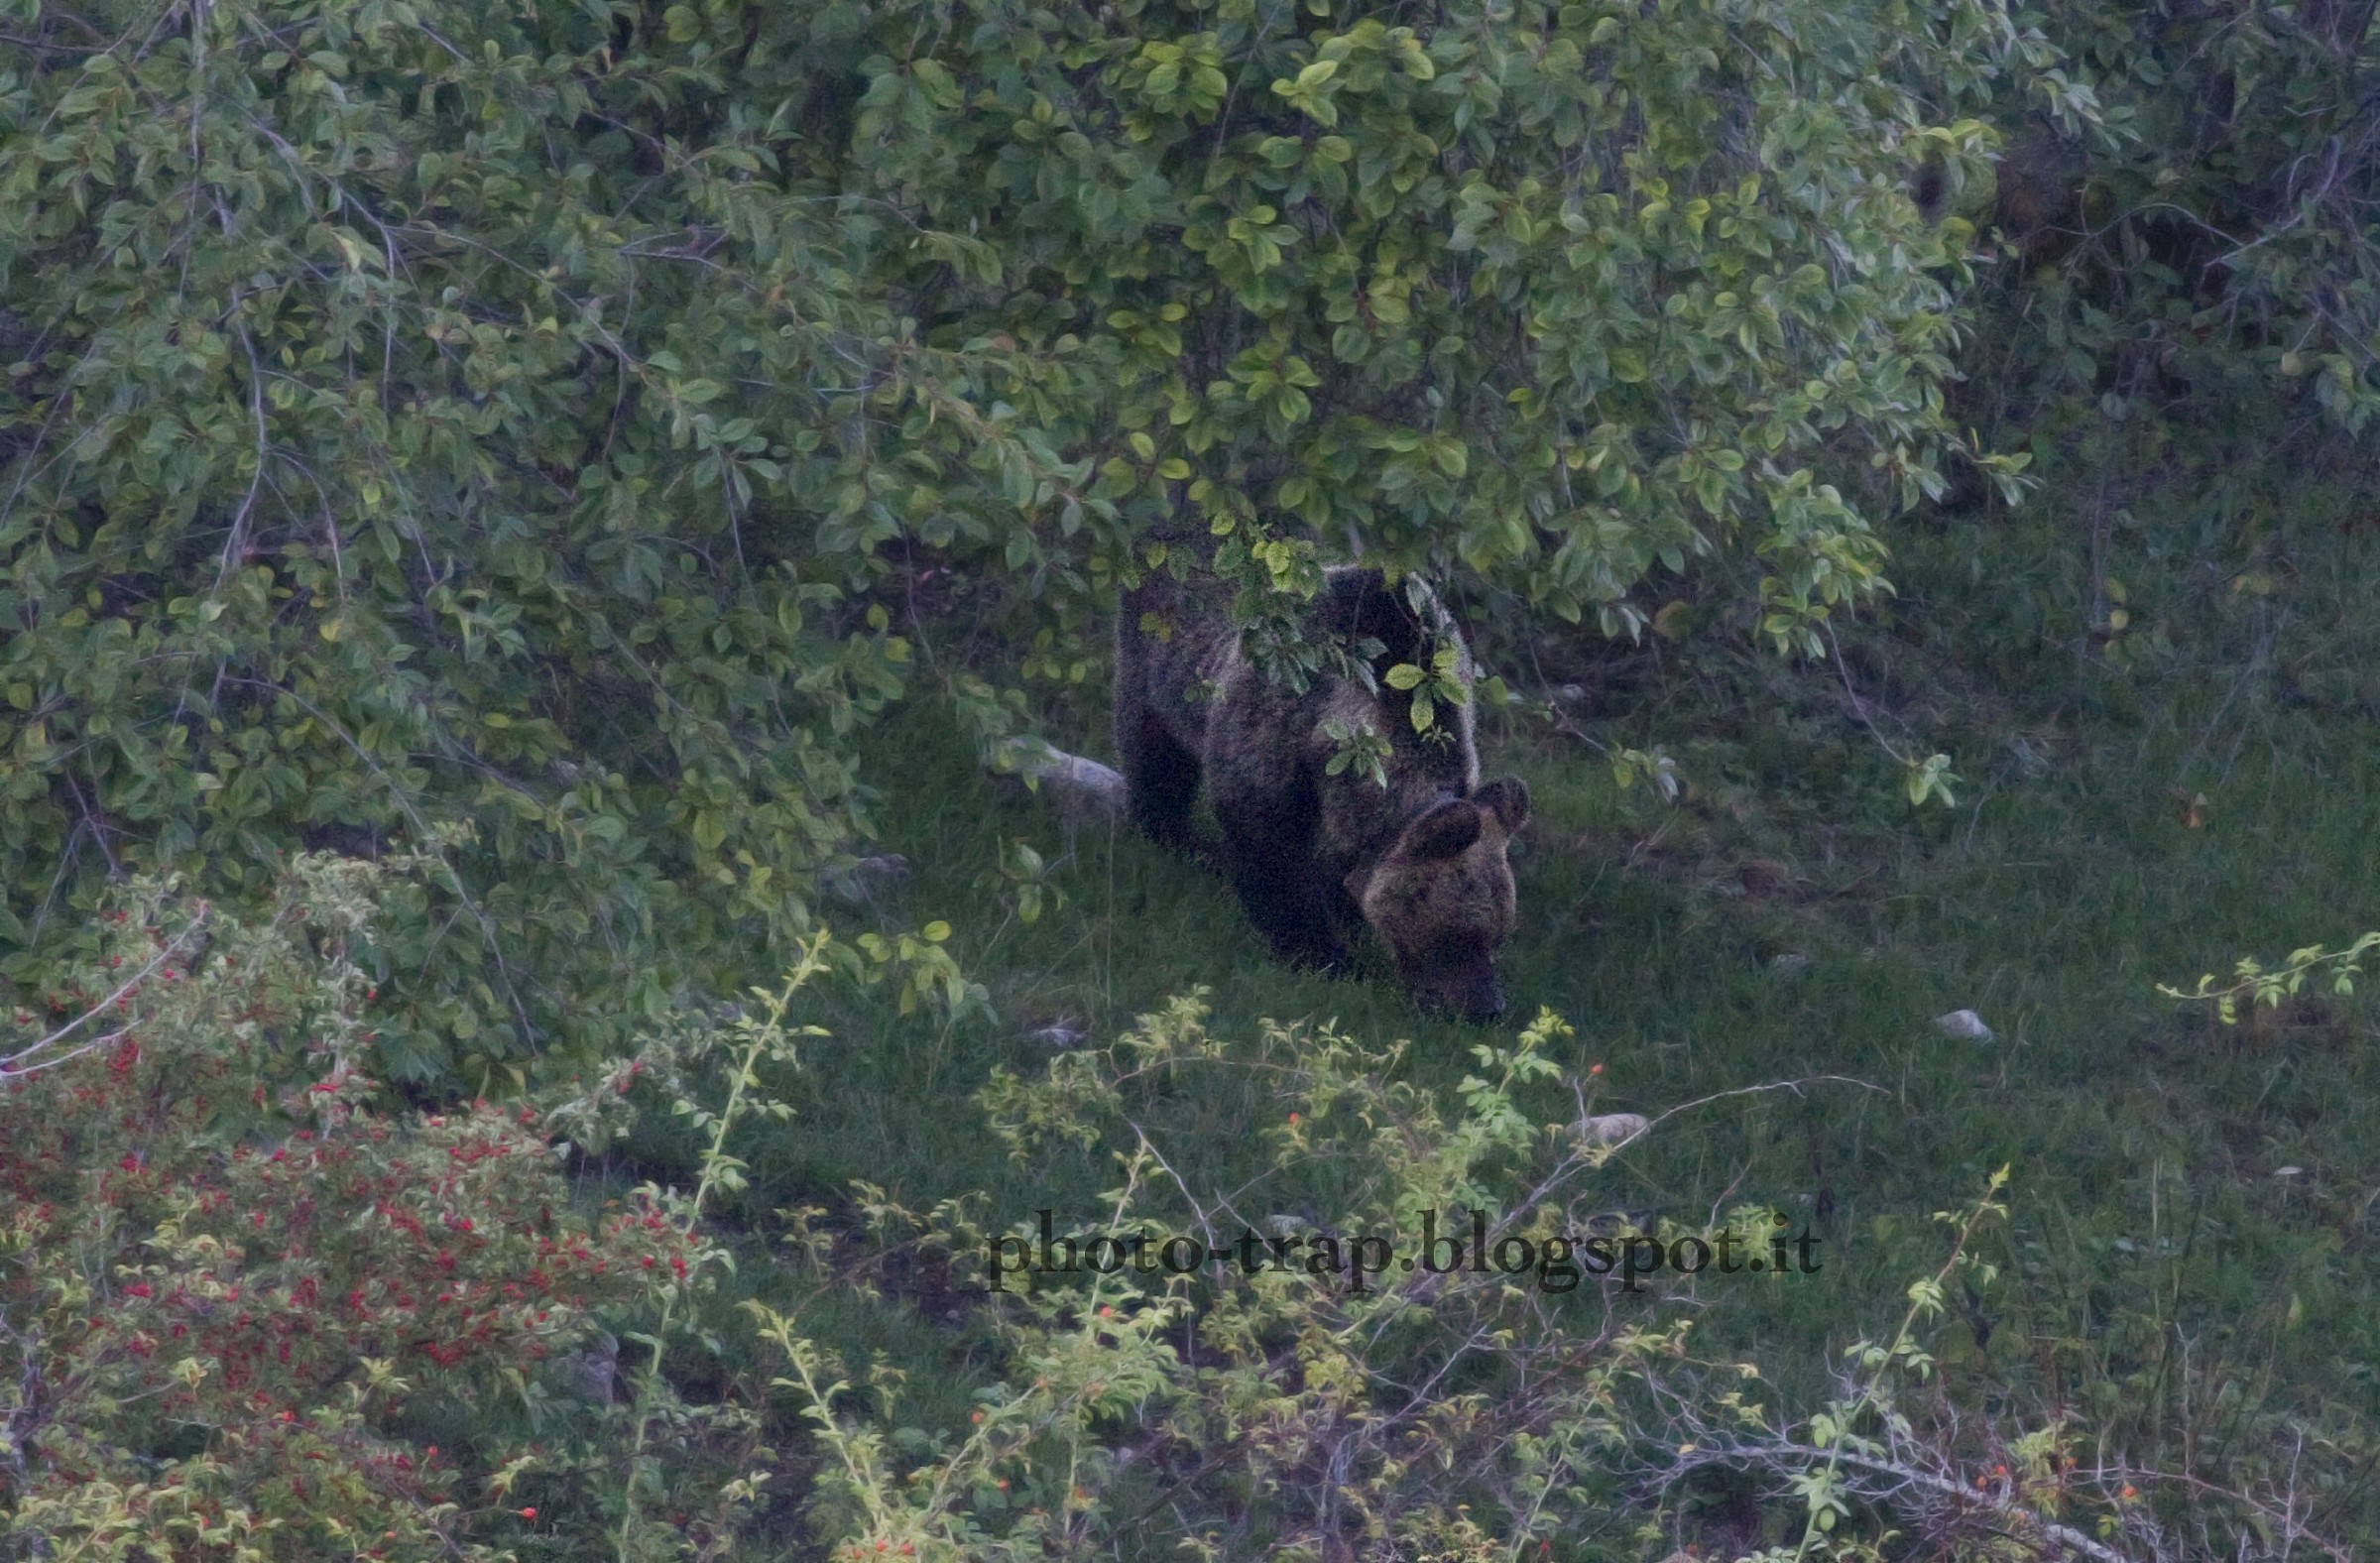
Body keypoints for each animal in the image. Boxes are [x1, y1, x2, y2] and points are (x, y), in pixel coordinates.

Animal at [1114, 565, 1530, 1021]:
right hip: (1157, 656)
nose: (1486, 1009)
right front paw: (1323, 955)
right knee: (1154, 749)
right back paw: (1177, 836)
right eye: (1457, 934)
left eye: (1499, 934)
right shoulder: (1271, 718)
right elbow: (1270, 847)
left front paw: (1344, 904)